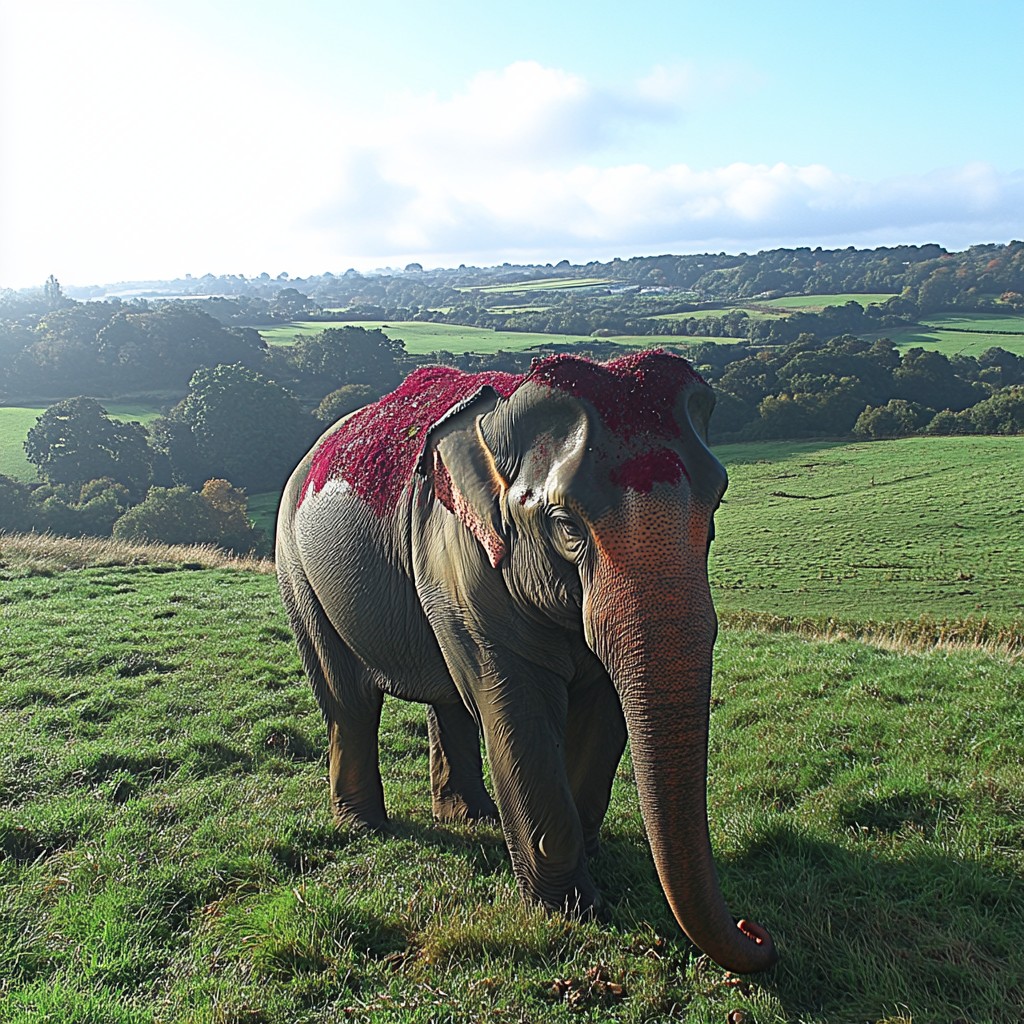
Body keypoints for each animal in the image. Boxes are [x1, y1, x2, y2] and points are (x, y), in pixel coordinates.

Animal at [276, 348, 770, 970]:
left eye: (716, 508)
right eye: (565, 526)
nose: (757, 930)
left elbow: (603, 709)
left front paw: (589, 864)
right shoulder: (459, 555)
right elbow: (518, 711)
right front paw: (571, 908)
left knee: (447, 700)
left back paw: (470, 818)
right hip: (297, 571)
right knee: (351, 701)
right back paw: (365, 826)